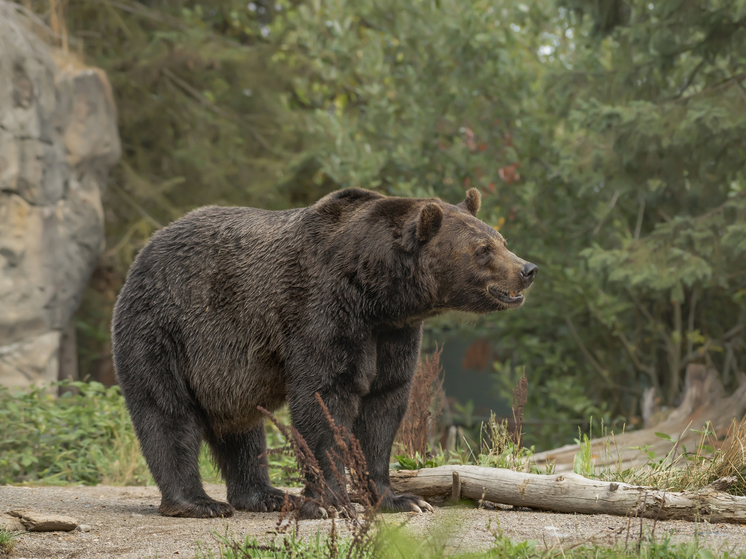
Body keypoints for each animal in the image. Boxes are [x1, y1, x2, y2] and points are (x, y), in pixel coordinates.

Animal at [110, 189, 536, 520]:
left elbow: (384, 406)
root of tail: (145, 250)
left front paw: (400, 499)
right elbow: (324, 399)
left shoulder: (393, 334)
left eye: (501, 239)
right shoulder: (322, 309)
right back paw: (198, 503)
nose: (527, 269)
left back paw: (265, 495)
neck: (376, 292)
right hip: (165, 329)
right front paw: (331, 502)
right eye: (482, 249)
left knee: (242, 429)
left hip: (226, 372)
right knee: (167, 412)